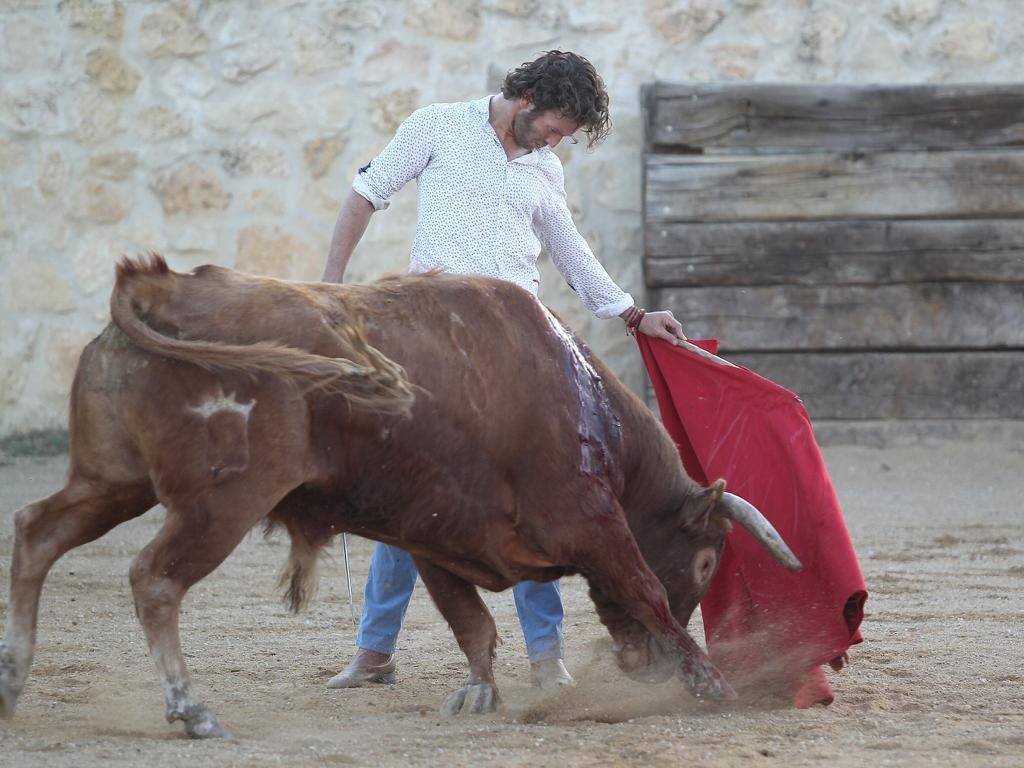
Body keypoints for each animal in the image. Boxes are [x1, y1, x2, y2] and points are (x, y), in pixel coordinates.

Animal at [0, 257, 798, 741]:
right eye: (706, 563)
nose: (642, 669)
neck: (582, 401)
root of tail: (154, 289)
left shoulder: (434, 536)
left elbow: (472, 624)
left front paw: (479, 695)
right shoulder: (592, 522)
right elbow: (643, 590)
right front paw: (710, 682)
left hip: (112, 481)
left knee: (37, 533)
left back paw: (12, 681)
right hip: (219, 503)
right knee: (155, 579)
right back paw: (192, 709)